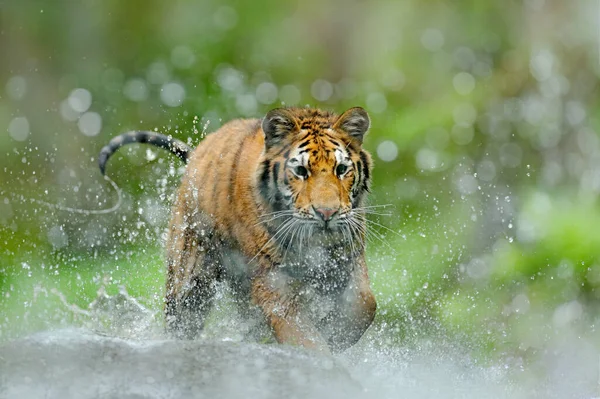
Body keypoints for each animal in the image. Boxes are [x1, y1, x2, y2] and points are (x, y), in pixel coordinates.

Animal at [100, 106, 378, 354]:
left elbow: (365, 303)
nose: (326, 213)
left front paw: (335, 334)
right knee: (180, 322)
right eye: (301, 171)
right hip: (189, 278)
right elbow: (302, 335)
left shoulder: (348, 257)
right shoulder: (271, 281)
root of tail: (198, 154)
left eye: (341, 169)